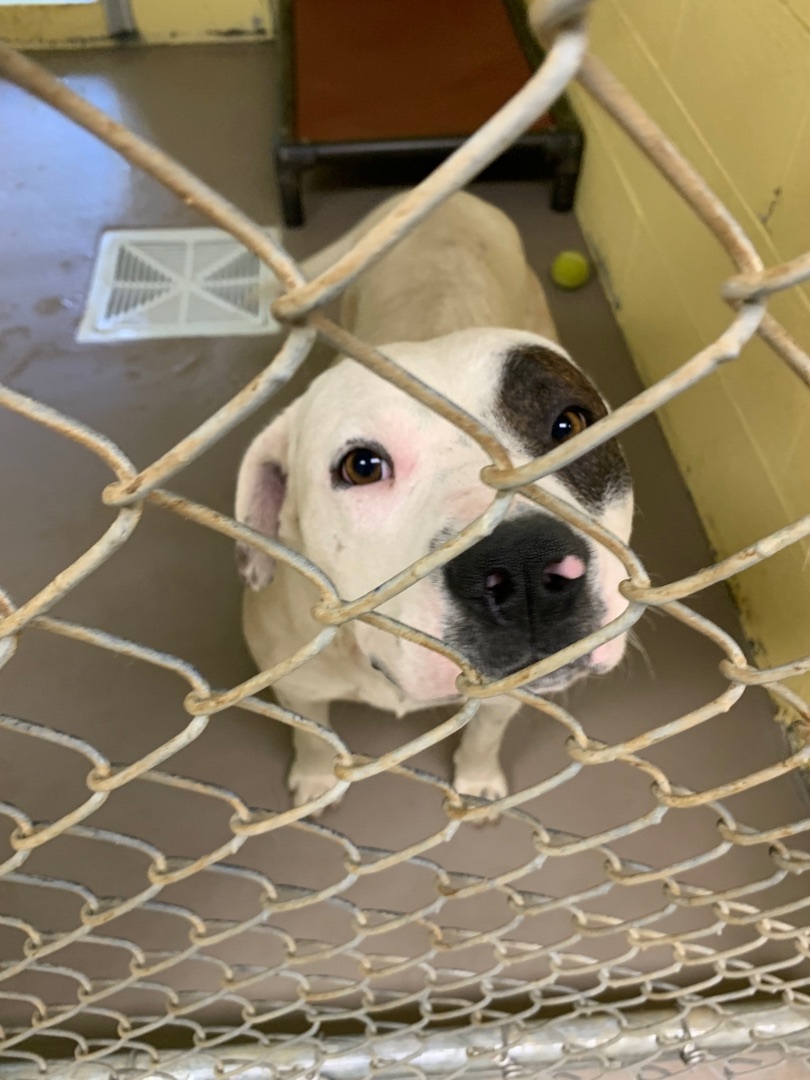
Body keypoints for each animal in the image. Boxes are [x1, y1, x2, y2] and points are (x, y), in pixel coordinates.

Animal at [234, 190, 635, 807]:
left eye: (569, 424)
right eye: (362, 466)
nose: (522, 566)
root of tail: (454, 199)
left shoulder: (508, 693)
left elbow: (487, 729)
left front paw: (476, 779)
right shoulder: (296, 682)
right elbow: (313, 734)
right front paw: (318, 779)